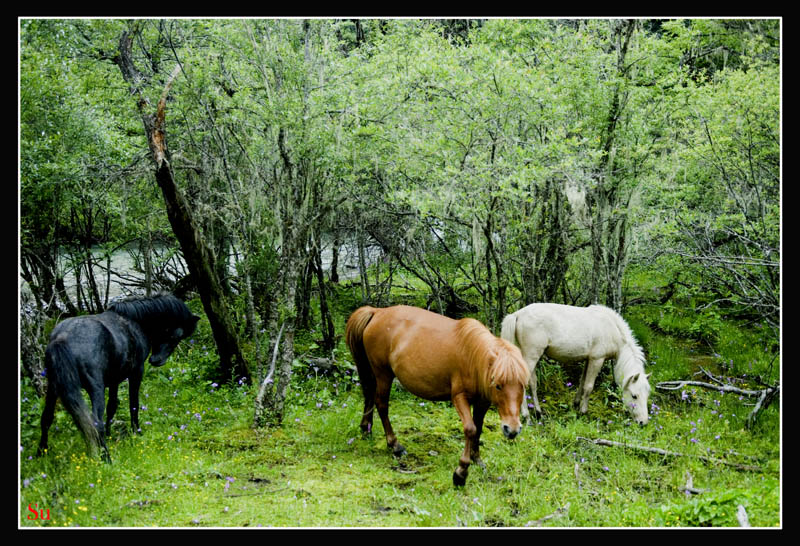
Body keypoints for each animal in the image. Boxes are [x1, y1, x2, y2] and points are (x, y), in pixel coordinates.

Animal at [37, 294, 200, 460]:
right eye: (175, 335)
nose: (156, 360)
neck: (134, 321)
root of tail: (62, 338)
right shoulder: (136, 372)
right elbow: (133, 405)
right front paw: (137, 433)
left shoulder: (114, 379)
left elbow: (112, 406)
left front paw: (110, 435)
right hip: (95, 389)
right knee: (95, 423)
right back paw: (106, 458)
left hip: (53, 387)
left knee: (46, 418)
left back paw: (41, 452)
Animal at [344, 302, 532, 484]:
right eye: (498, 385)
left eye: (523, 385)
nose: (512, 429)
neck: (472, 358)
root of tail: (377, 312)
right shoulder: (459, 397)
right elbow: (470, 429)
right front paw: (461, 472)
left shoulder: (483, 402)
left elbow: (478, 429)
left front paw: (477, 460)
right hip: (383, 373)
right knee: (381, 404)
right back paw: (395, 445)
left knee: (369, 394)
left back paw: (366, 429)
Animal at [504, 302, 652, 424]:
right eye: (634, 396)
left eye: (647, 395)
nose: (643, 422)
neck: (611, 329)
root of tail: (518, 314)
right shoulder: (597, 360)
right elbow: (588, 387)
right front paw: (583, 412)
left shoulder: (588, 360)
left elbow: (582, 383)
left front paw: (576, 404)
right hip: (531, 357)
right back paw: (526, 416)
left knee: (533, 383)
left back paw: (538, 413)